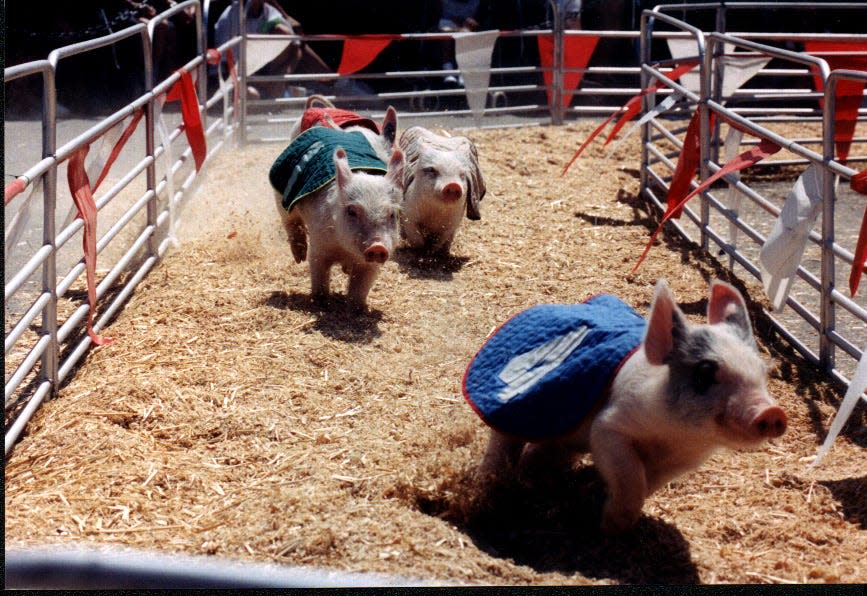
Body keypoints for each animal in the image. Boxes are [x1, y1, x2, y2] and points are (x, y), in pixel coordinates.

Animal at [270, 127, 406, 312]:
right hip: (281, 198)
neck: (345, 251)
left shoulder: (371, 264)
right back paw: (299, 257)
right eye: (352, 211)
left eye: (392, 214)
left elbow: (361, 286)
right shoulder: (319, 247)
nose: (377, 246)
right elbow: (319, 275)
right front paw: (320, 303)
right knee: (291, 223)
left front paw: (357, 310)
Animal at [396, 125, 484, 254]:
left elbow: (442, 238)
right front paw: (421, 250)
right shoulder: (408, 212)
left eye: (462, 174)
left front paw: (434, 251)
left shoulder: (454, 221)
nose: (453, 185)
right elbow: (415, 236)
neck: (436, 211)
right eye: (431, 170)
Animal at [464, 280, 792, 536]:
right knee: (502, 444)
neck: (674, 437)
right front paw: (611, 528)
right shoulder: (611, 426)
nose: (772, 413)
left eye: (762, 372)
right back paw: (487, 488)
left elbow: (648, 484)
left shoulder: (684, 461)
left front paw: (598, 501)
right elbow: (631, 475)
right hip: (513, 409)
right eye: (704, 373)